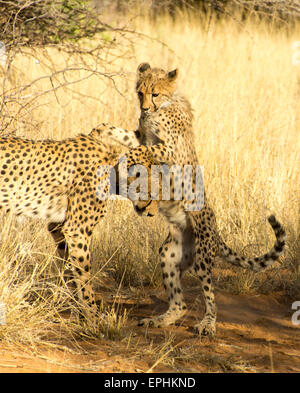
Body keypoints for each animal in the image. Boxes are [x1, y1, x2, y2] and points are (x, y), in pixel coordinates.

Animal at [0, 129, 159, 324]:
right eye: (153, 192)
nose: (152, 213)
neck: (112, 166)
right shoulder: (77, 229)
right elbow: (83, 273)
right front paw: (94, 317)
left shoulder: (58, 227)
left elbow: (70, 269)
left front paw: (78, 310)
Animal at [96, 62, 286, 336]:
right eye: (139, 93)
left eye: (154, 94)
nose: (144, 108)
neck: (163, 106)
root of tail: (216, 231)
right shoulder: (142, 134)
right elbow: (123, 134)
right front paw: (100, 130)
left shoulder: (168, 148)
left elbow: (140, 149)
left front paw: (125, 158)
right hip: (169, 255)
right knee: (180, 304)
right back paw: (160, 320)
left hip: (203, 259)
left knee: (210, 297)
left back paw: (208, 324)